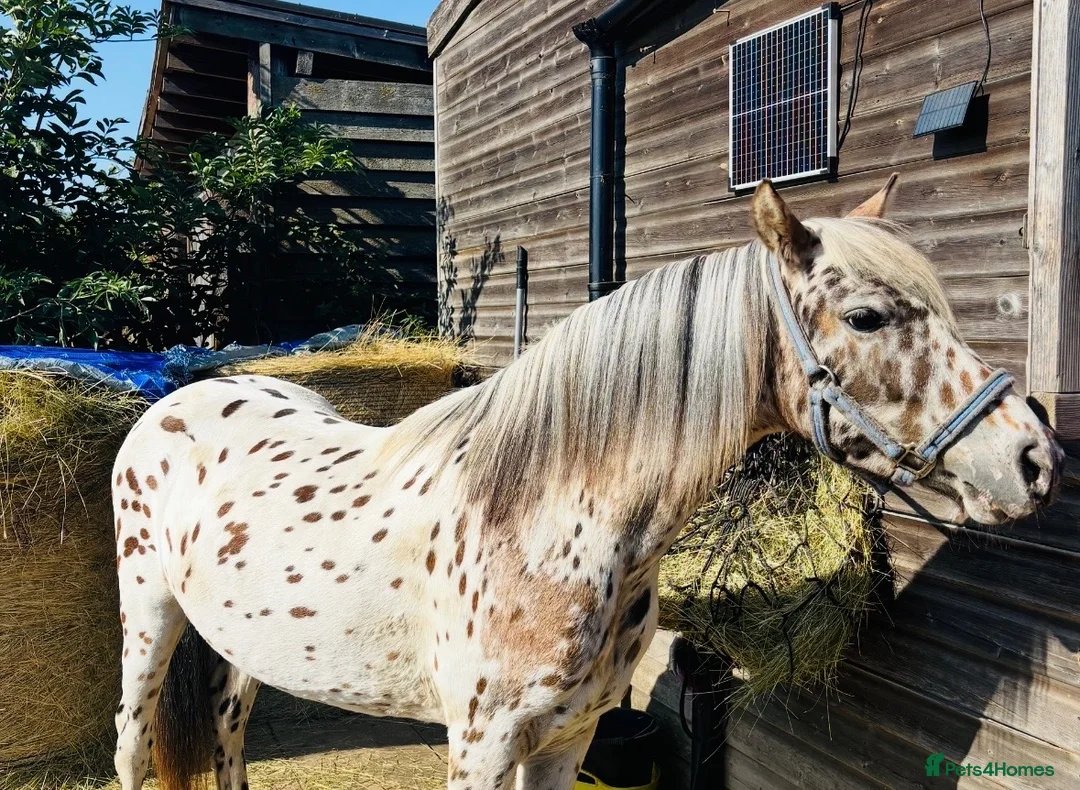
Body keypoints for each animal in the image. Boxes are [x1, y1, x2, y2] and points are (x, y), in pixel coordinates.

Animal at [109, 176, 1062, 790]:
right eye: (866, 317)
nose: (1035, 459)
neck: (550, 520)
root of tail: (179, 399)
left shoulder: (569, 739)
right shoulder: (481, 747)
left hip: (240, 651)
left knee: (226, 743)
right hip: (149, 621)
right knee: (131, 748)